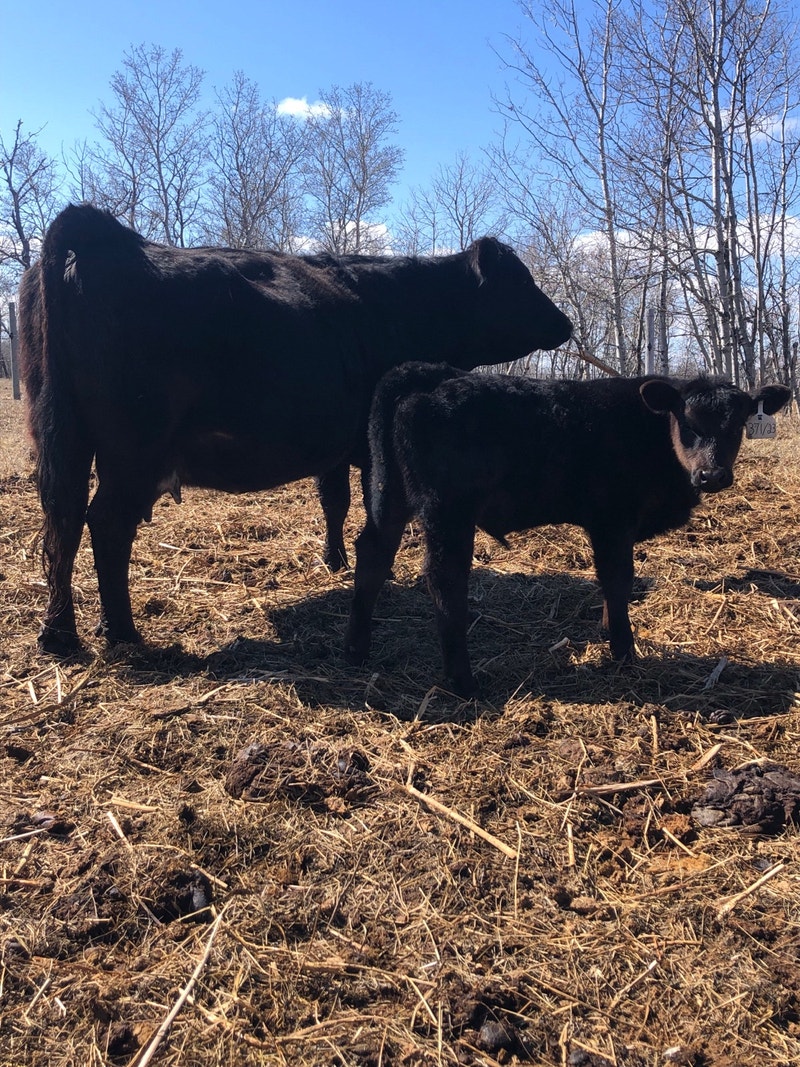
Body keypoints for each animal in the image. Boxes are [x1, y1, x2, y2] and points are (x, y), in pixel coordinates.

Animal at [18, 204, 572, 655]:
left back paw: (59, 635)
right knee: (106, 524)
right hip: (135, 449)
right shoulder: (372, 445)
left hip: (63, 437)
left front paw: (334, 560)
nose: (565, 324)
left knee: (62, 522)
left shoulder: (335, 444)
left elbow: (334, 501)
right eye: (522, 281)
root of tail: (107, 236)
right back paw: (122, 632)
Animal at [344, 362, 791, 697]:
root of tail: (431, 373)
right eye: (687, 423)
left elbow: (615, 584)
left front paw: (610, 629)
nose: (712, 475)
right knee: (444, 578)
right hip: (446, 511)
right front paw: (623, 651)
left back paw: (357, 650)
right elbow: (617, 579)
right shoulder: (612, 519)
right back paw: (463, 682)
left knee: (372, 555)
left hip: (389, 495)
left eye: (737, 424)